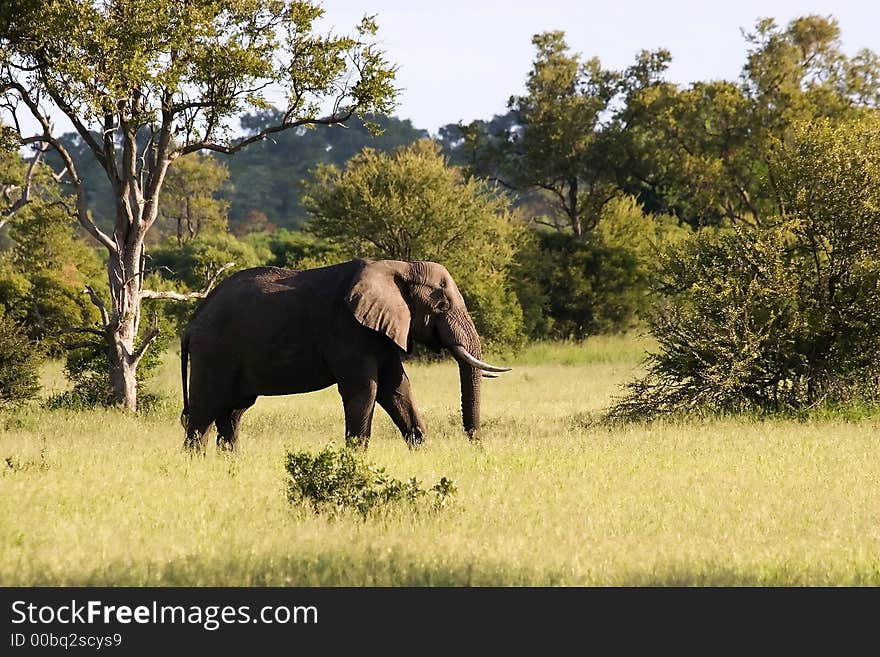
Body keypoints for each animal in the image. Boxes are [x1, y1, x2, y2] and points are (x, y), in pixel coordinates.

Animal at [179, 258, 508, 452]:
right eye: (442, 306)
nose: (475, 446)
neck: (399, 268)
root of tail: (191, 324)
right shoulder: (348, 330)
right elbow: (366, 389)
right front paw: (356, 458)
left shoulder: (381, 331)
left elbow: (397, 389)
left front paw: (420, 450)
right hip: (214, 352)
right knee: (203, 412)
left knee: (232, 412)